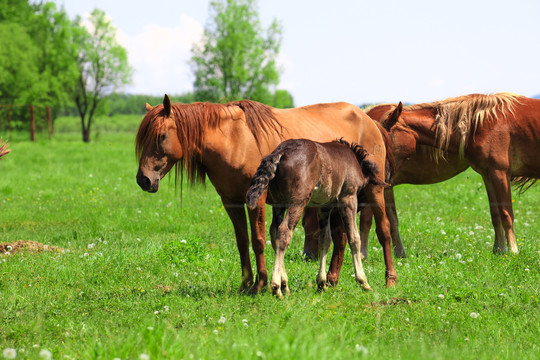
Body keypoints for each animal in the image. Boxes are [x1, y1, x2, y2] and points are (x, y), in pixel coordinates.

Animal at [245, 139, 388, 296]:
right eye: (364, 193)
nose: (363, 207)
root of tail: (281, 152)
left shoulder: (324, 207)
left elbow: (325, 240)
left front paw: (321, 283)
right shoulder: (348, 198)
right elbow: (354, 238)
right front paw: (363, 282)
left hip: (279, 203)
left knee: (274, 231)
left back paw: (284, 285)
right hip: (297, 202)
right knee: (284, 231)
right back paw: (276, 286)